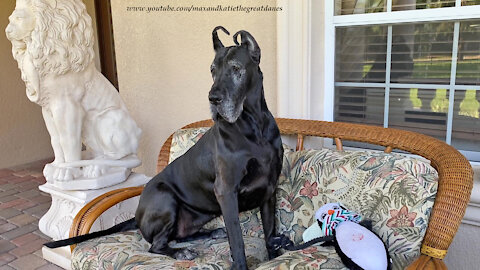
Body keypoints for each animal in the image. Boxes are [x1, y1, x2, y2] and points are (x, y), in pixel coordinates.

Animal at [44, 26, 284, 270]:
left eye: (236, 68)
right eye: (213, 70)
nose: (213, 98)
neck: (254, 126)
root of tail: (137, 215)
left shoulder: (269, 188)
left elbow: (269, 233)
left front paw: (274, 254)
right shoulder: (226, 191)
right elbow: (237, 240)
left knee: (178, 235)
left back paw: (210, 234)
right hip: (165, 198)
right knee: (156, 245)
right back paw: (181, 252)